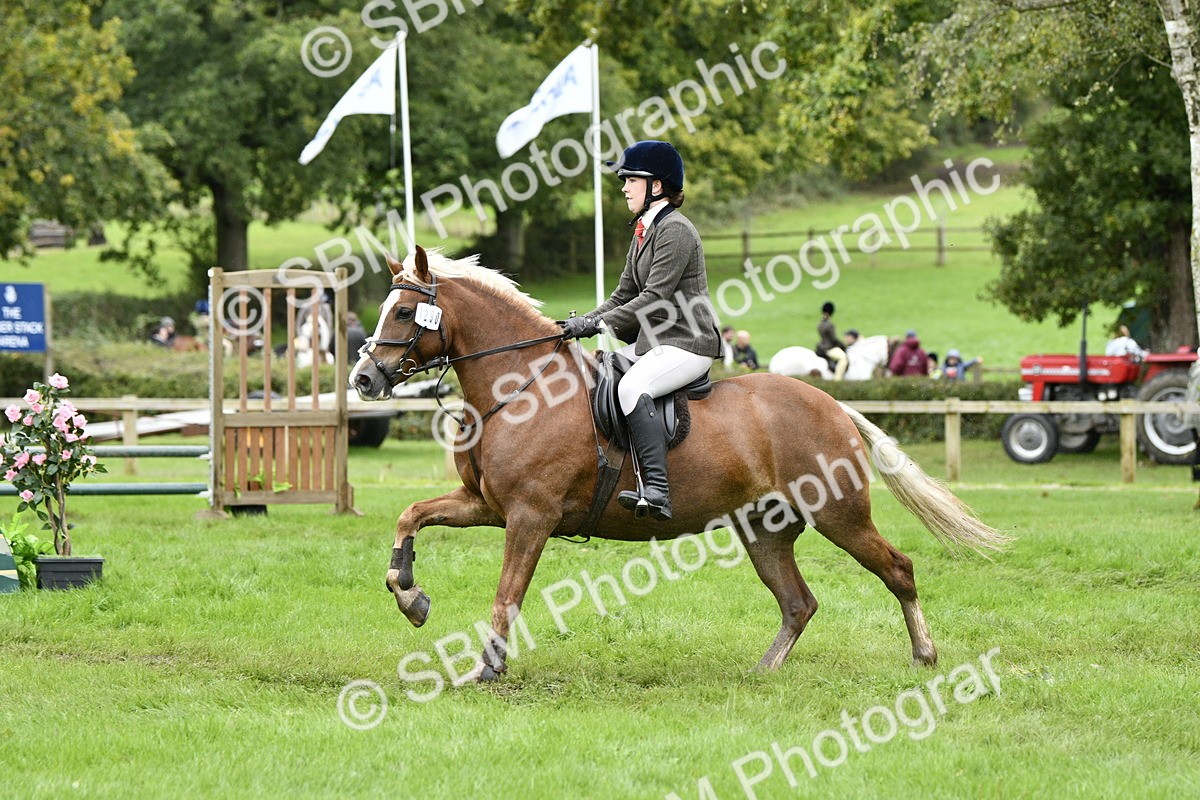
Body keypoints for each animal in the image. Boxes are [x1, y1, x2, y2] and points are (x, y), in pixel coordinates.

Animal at [350, 247, 1009, 682]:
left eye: (404, 314)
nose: (363, 378)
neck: (523, 388)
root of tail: (833, 403)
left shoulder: (530, 516)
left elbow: (507, 592)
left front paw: (487, 670)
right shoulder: (486, 505)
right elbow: (411, 515)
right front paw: (410, 596)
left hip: (841, 517)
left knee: (898, 570)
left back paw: (924, 655)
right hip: (765, 531)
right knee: (798, 603)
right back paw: (763, 672)